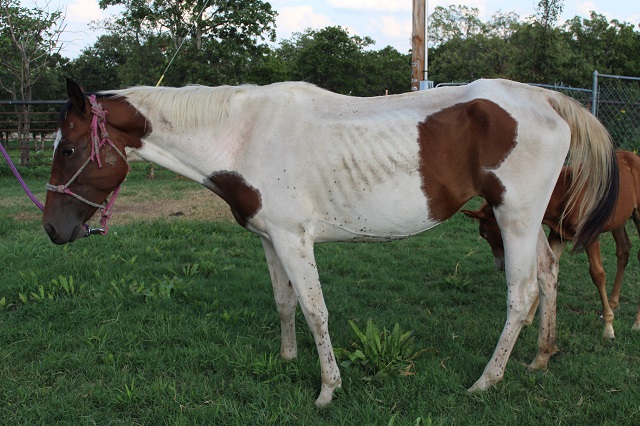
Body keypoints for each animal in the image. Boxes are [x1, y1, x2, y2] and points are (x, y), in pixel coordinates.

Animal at [42, 77, 616, 406]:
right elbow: (284, 303)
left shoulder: (296, 240)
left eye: (68, 149)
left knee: (521, 294)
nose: (52, 229)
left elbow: (316, 310)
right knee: (548, 275)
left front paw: (327, 390)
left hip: (514, 217)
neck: (243, 134)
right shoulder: (271, 239)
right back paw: (540, 359)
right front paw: (287, 360)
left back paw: (485, 382)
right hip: (525, 221)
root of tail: (544, 98)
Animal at [464, 151, 640, 340]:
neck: (566, 192)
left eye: (484, 233)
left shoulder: (590, 236)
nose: (500, 265)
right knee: (623, 250)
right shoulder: (559, 234)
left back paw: (635, 322)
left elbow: (598, 274)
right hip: (619, 220)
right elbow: (545, 271)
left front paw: (609, 327)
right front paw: (528, 319)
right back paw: (613, 306)